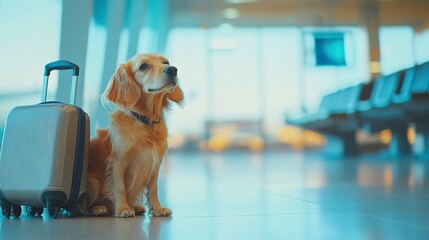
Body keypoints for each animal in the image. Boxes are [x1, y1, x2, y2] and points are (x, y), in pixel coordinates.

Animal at [85, 53, 182, 218]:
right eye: (144, 66)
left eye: (165, 62)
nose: (172, 69)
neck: (145, 121)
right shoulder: (118, 161)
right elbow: (120, 187)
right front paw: (122, 209)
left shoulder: (155, 163)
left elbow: (153, 189)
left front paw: (157, 209)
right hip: (92, 181)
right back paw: (98, 208)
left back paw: (135, 207)